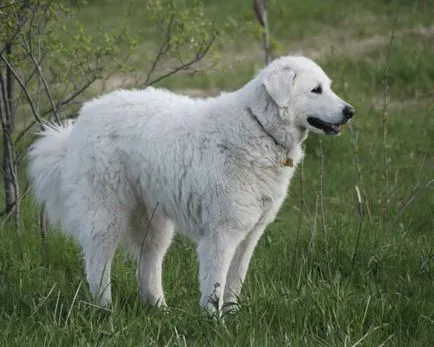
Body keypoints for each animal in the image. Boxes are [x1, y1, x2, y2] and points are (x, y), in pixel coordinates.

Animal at [28, 55, 352, 314]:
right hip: (107, 215)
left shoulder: (250, 234)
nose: (350, 111)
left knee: (148, 267)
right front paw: (214, 321)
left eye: (328, 86)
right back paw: (106, 310)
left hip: (154, 225)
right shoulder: (222, 233)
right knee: (98, 265)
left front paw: (233, 317)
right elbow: (215, 283)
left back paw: (160, 310)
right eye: (316, 90)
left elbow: (235, 281)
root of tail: (82, 118)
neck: (258, 127)